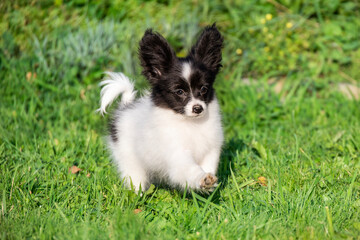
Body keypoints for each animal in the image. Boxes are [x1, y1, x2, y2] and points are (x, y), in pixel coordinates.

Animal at [97, 23, 224, 193]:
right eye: (179, 92)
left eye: (204, 89)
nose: (198, 108)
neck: (190, 124)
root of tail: (125, 106)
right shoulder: (177, 155)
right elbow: (190, 170)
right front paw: (202, 179)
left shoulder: (211, 148)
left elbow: (209, 166)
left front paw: (208, 184)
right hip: (129, 159)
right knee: (134, 178)